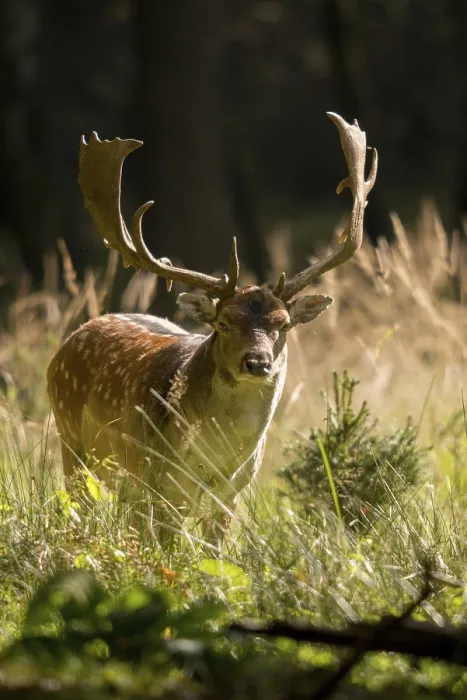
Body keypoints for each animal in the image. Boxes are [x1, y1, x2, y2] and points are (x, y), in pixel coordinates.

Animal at [47, 112, 377, 542]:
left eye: (284, 323)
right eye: (223, 322)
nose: (257, 362)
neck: (214, 459)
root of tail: (70, 340)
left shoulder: (232, 491)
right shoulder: (159, 480)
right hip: (74, 443)